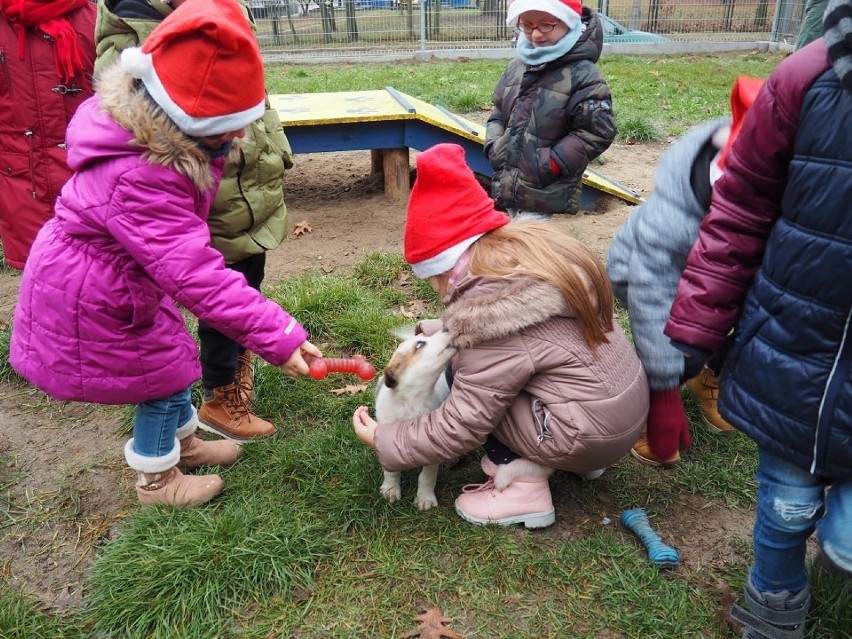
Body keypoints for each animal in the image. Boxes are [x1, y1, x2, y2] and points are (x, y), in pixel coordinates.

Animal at [378, 328, 456, 512]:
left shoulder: (432, 447)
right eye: (420, 344)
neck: (411, 403)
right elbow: (391, 470)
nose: (446, 328)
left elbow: (427, 476)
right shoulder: (385, 439)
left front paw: (424, 497)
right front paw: (390, 489)